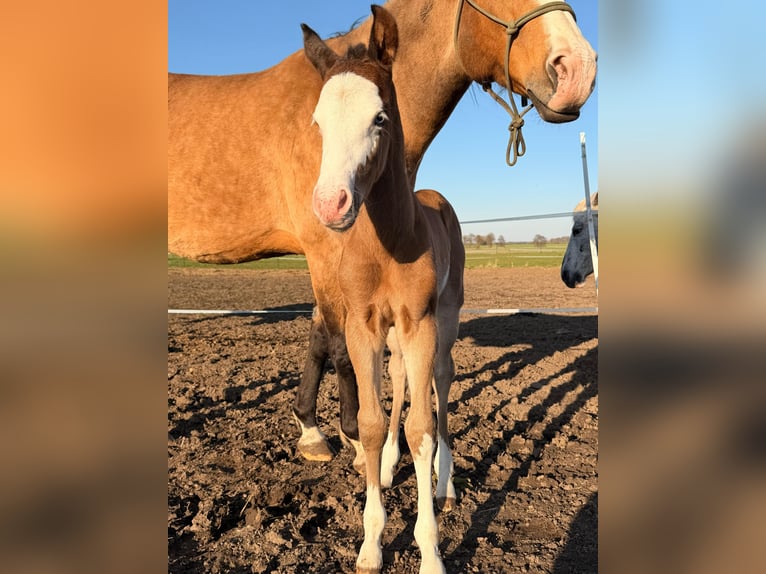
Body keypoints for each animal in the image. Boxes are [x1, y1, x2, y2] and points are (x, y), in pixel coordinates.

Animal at [168, 0, 596, 468]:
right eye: (317, 123)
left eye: (378, 117)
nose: (577, 67)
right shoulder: (325, 253)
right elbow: (339, 347)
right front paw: (354, 438)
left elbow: (320, 339)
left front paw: (311, 429)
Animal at [303, 7, 464, 572]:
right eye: (318, 122)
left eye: (380, 118)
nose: (330, 204)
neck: (390, 241)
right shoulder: (364, 325)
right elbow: (372, 423)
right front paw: (371, 542)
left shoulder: (420, 322)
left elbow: (422, 426)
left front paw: (430, 550)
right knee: (401, 383)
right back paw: (395, 466)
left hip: (446, 318)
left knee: (439, 382)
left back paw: (444, 481)